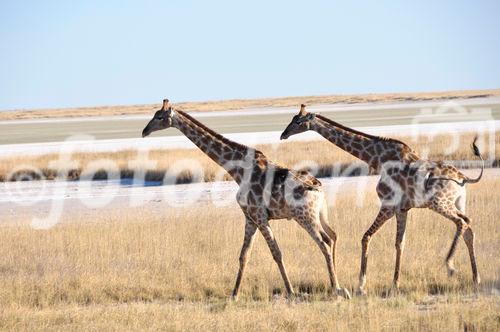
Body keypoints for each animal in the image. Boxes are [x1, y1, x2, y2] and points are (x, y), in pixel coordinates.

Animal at [141, 98, 352, 298]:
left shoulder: (260, 216)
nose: (144, 131)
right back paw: (337, 285)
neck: (237, 170)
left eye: (159, 117)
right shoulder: (249, 217)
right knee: (331, 237)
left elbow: (276, 253)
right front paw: (234, 294)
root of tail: (318, 187)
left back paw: (337, 289)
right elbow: (244, 255)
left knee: (323, 242)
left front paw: (291, 292)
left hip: (304, 216)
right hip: (320, 214)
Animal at [280, 102, 482, 294]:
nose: (283, 134)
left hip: (439, 203)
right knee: (468, 228)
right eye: (292, 119)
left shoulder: (388, 205)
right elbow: (399, 243)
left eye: (298, 121)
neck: (377, 158)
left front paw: (361, 285)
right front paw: (395, 284)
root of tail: (463, 178)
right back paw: (476, 278)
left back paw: (450, 266)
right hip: (458, 202)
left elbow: (366, 237)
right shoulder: (402, 209)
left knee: (462, 222)